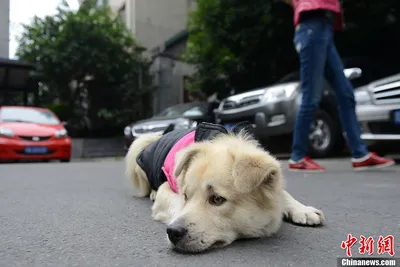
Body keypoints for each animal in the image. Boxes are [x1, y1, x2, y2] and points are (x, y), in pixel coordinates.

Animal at [125, 123, 324, 253]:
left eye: (217, 199)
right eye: (185, 196)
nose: (172, 232)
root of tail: (159, 135)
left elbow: (283, 193)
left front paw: (303, 209)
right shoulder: (167, 189)